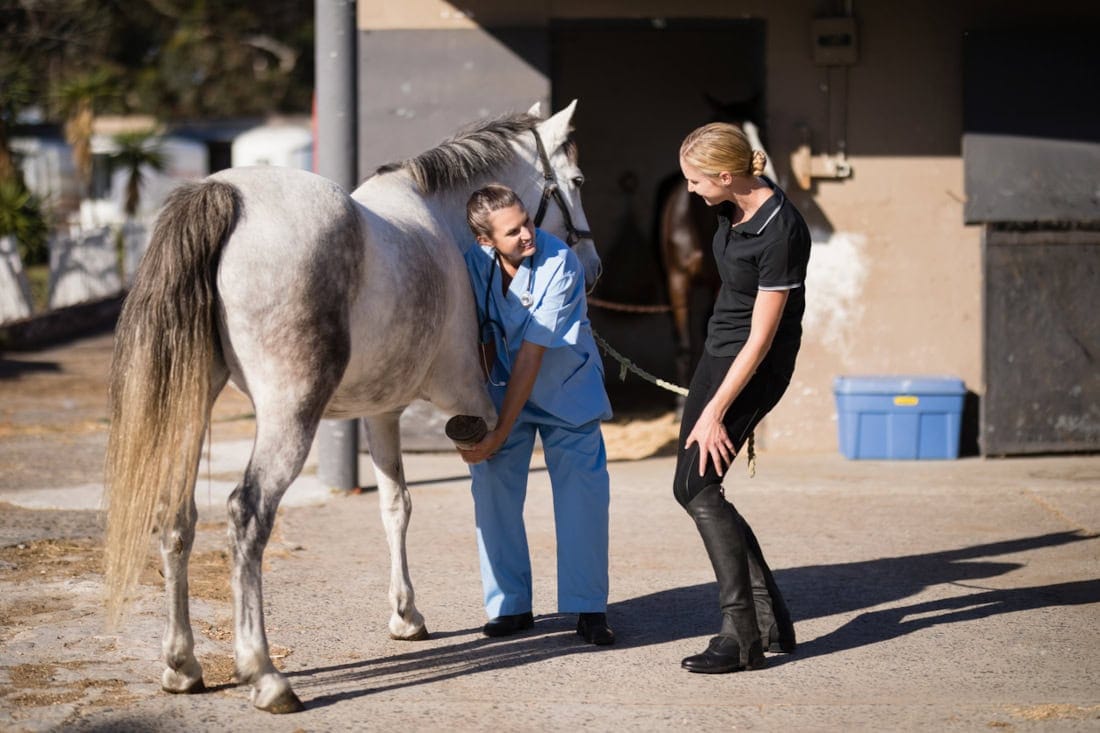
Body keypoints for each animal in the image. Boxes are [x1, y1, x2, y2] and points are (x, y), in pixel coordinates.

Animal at [103, 100, 599, 714]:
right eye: (576, 180)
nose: (592, 265)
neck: (439, 221)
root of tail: (224, 195)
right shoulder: (471, 404)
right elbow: (494, 499)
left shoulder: (381, 414)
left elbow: (395, 506)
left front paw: (407, 615)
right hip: (290, 416)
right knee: (247, 514)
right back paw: (265, 675)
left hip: (193, 408)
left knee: (176, 516)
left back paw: (181, 665)